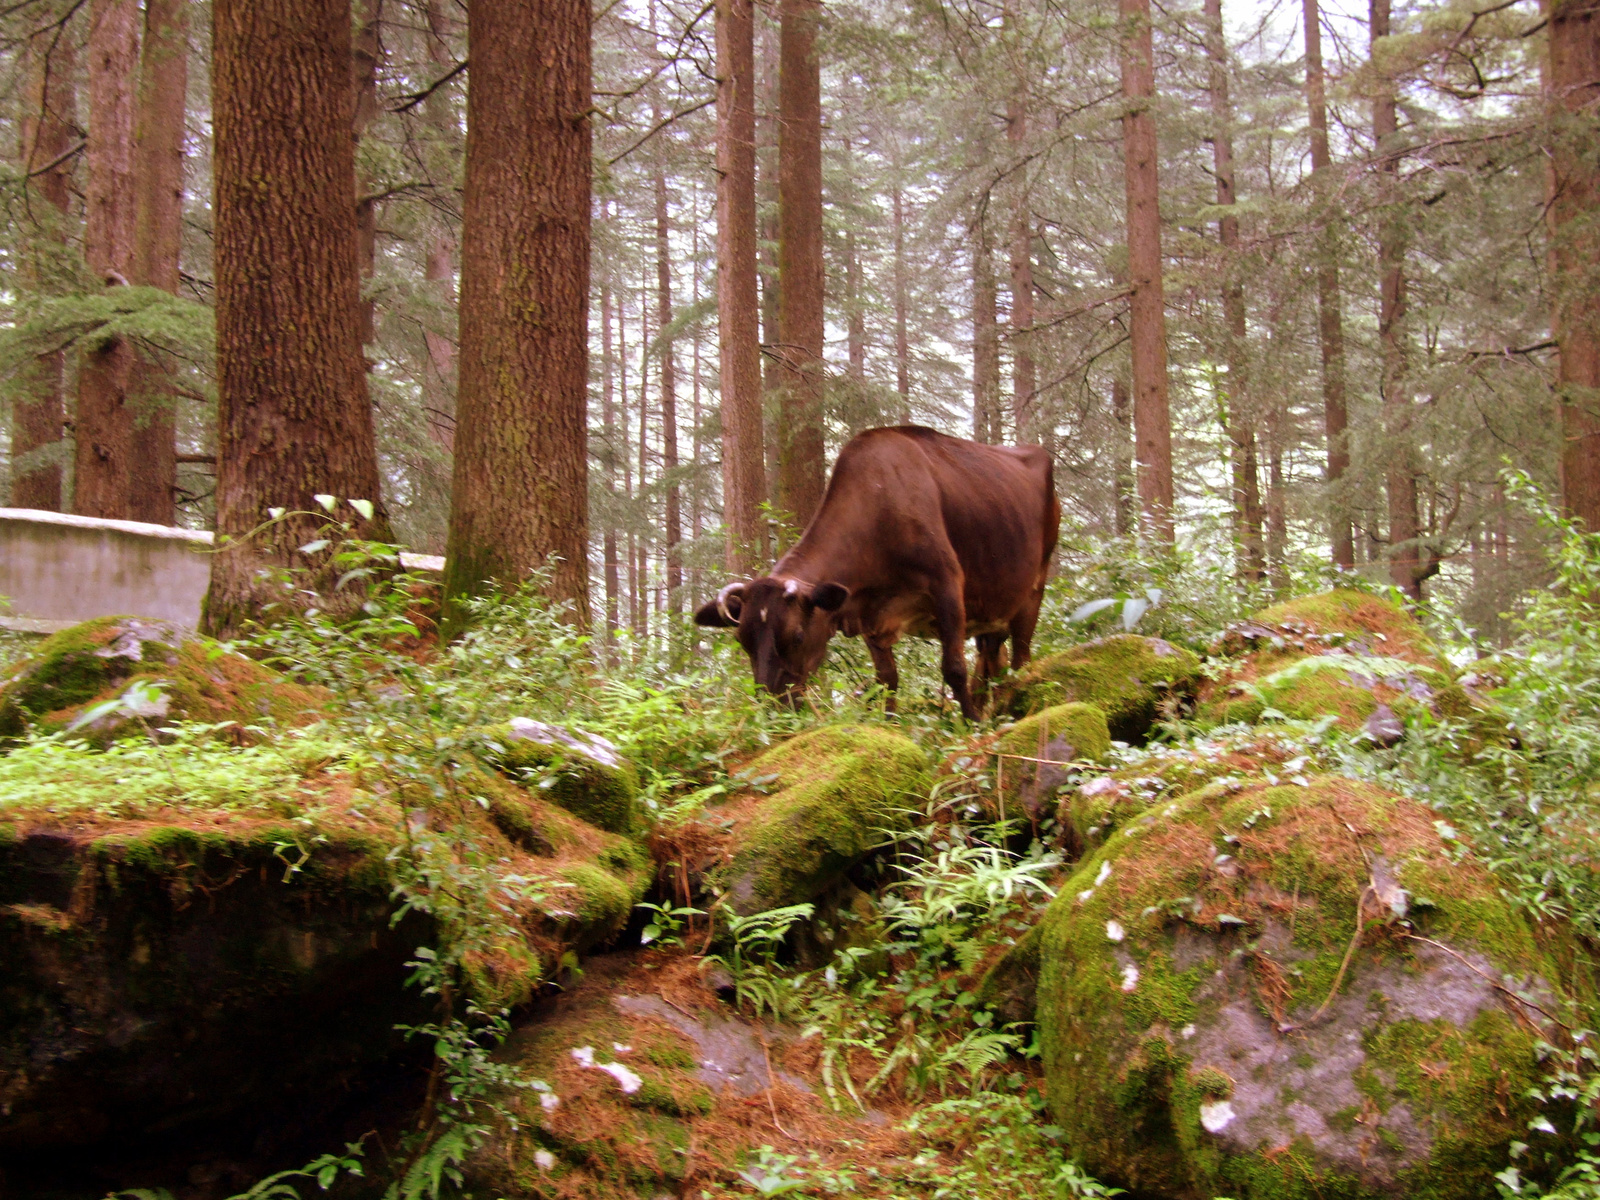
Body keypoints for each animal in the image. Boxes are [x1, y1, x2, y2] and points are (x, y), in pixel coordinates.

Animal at [694, 428, 1056, 720]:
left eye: (796, 636)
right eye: (742, 640)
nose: (772, 709)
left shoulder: (949, 586)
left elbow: (953, 668)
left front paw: (971, 725)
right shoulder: (869, 614)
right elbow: (887, 680)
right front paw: (891, 726)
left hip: (1034, 586)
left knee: (1021, 659)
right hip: (991, 610)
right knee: (992, 660)